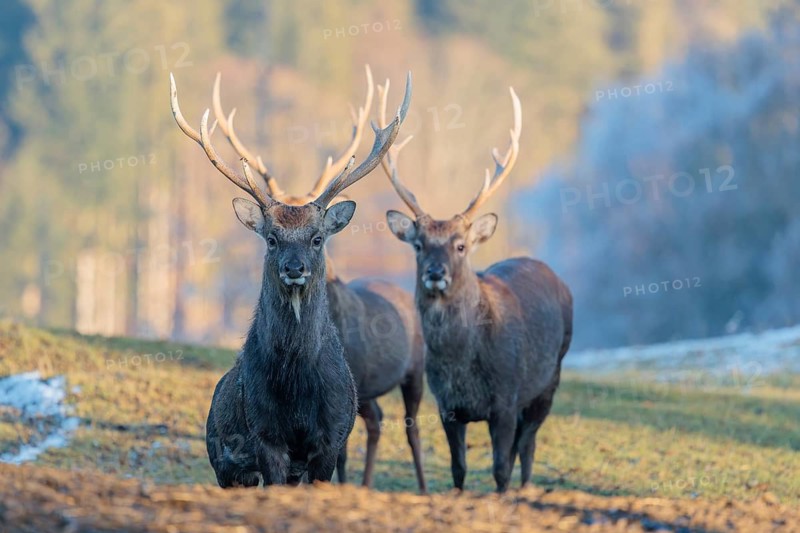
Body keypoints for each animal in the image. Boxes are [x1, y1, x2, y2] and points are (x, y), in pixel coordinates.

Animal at [169, 69, 412, 487]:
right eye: (271, 238)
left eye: (317, 238)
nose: (294, 269)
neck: (297, 388)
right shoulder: (265, 434)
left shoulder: (331, 438)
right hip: (224, 465)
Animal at [378, 84, 573, 493]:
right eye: (418, 245)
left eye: (461, 245)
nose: (435, 272)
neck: (462, 367)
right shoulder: (447, 407)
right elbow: (459, 469)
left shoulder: (506, 399)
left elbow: (500, 468)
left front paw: (503, 495)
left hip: (549, 379)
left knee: (527, 446)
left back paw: (525, 489)